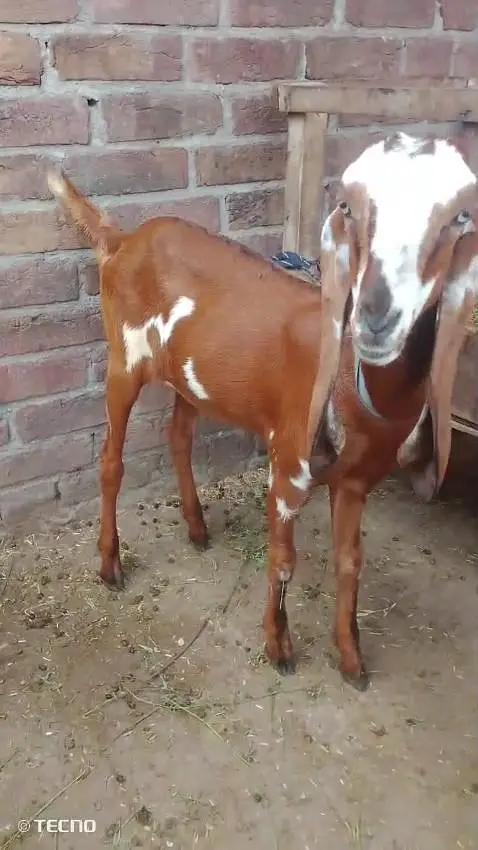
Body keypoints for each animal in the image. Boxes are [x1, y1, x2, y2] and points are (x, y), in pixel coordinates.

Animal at [48, 130, 478, 689]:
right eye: (354, 208)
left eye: (456, 218)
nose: (378, 313)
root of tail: (123, 240)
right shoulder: (289, 463)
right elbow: (283, 559)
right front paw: (278, 647)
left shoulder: (357, 479)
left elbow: (350, 563)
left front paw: (352, 660)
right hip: (124, 359)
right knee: (110, 462)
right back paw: (110, 565)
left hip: (190, 378)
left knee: (178, 436)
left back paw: (196, 528)